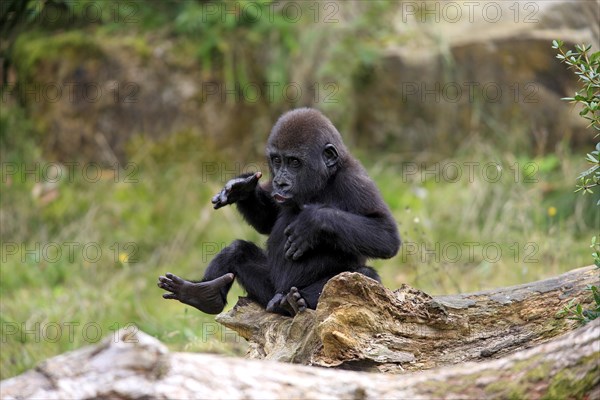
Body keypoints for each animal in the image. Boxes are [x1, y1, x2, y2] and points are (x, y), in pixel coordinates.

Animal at [162, 108, 400, 318]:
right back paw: (204, 294)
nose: (280, 182)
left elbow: (385, 236)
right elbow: (267, 222)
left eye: (294, 162)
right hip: (268, 290)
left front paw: (312, 222)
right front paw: (243, 188)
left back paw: (291, 302)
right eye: (277, 160)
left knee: (363, 274)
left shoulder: (355, 182)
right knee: (238, 250)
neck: (324, 179)